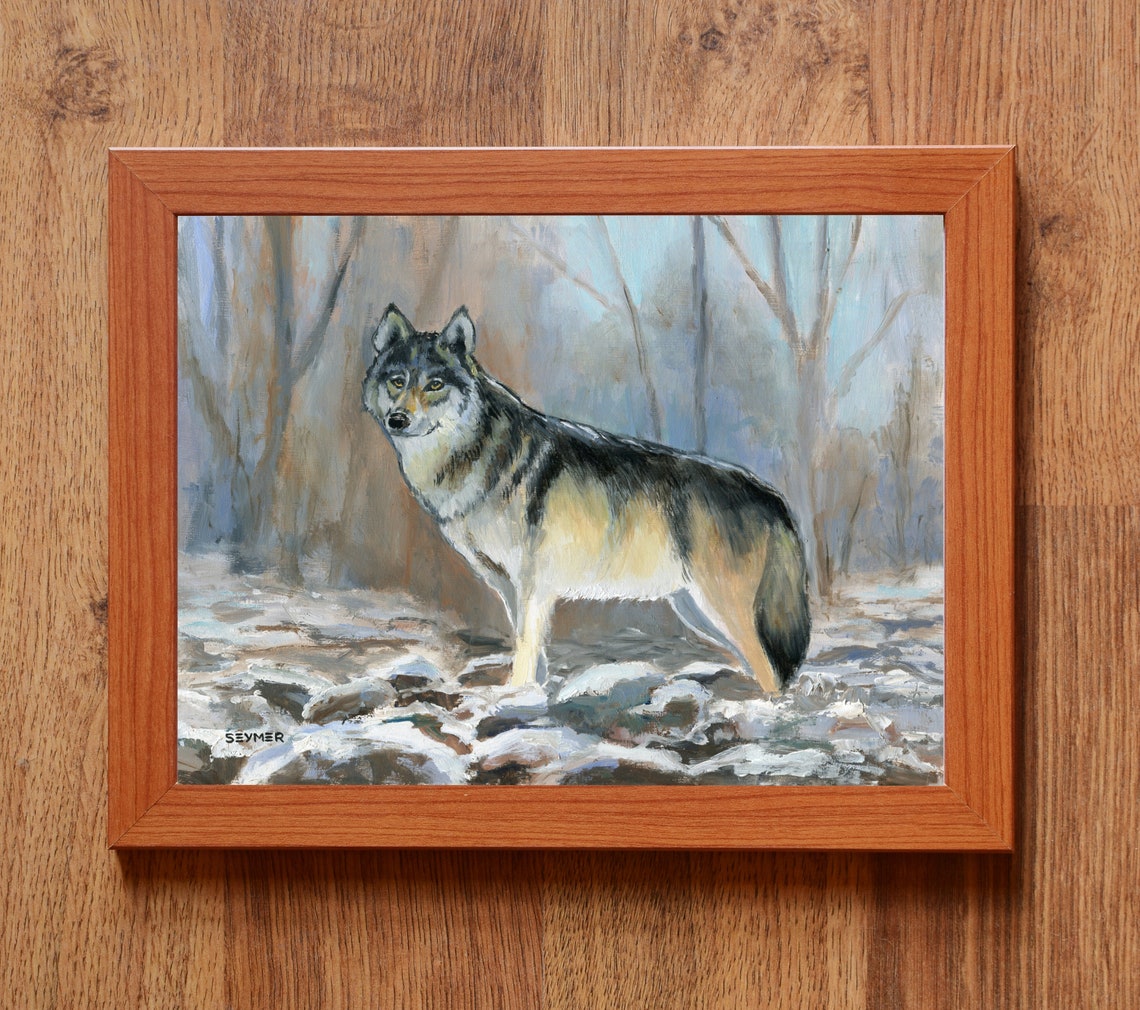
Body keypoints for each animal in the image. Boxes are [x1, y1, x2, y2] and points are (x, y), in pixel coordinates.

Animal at [362, 305, 811, 692]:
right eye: (397, 381)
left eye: (435, 385)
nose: (397, 419)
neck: (473, 457)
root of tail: (773, 498)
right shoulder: (509, 587)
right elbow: (533, 651)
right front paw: (533, 695)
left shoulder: (532, 584)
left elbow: (524, 648)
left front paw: (513, 696)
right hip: (696, 610)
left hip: (721, 608)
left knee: (774, 674)